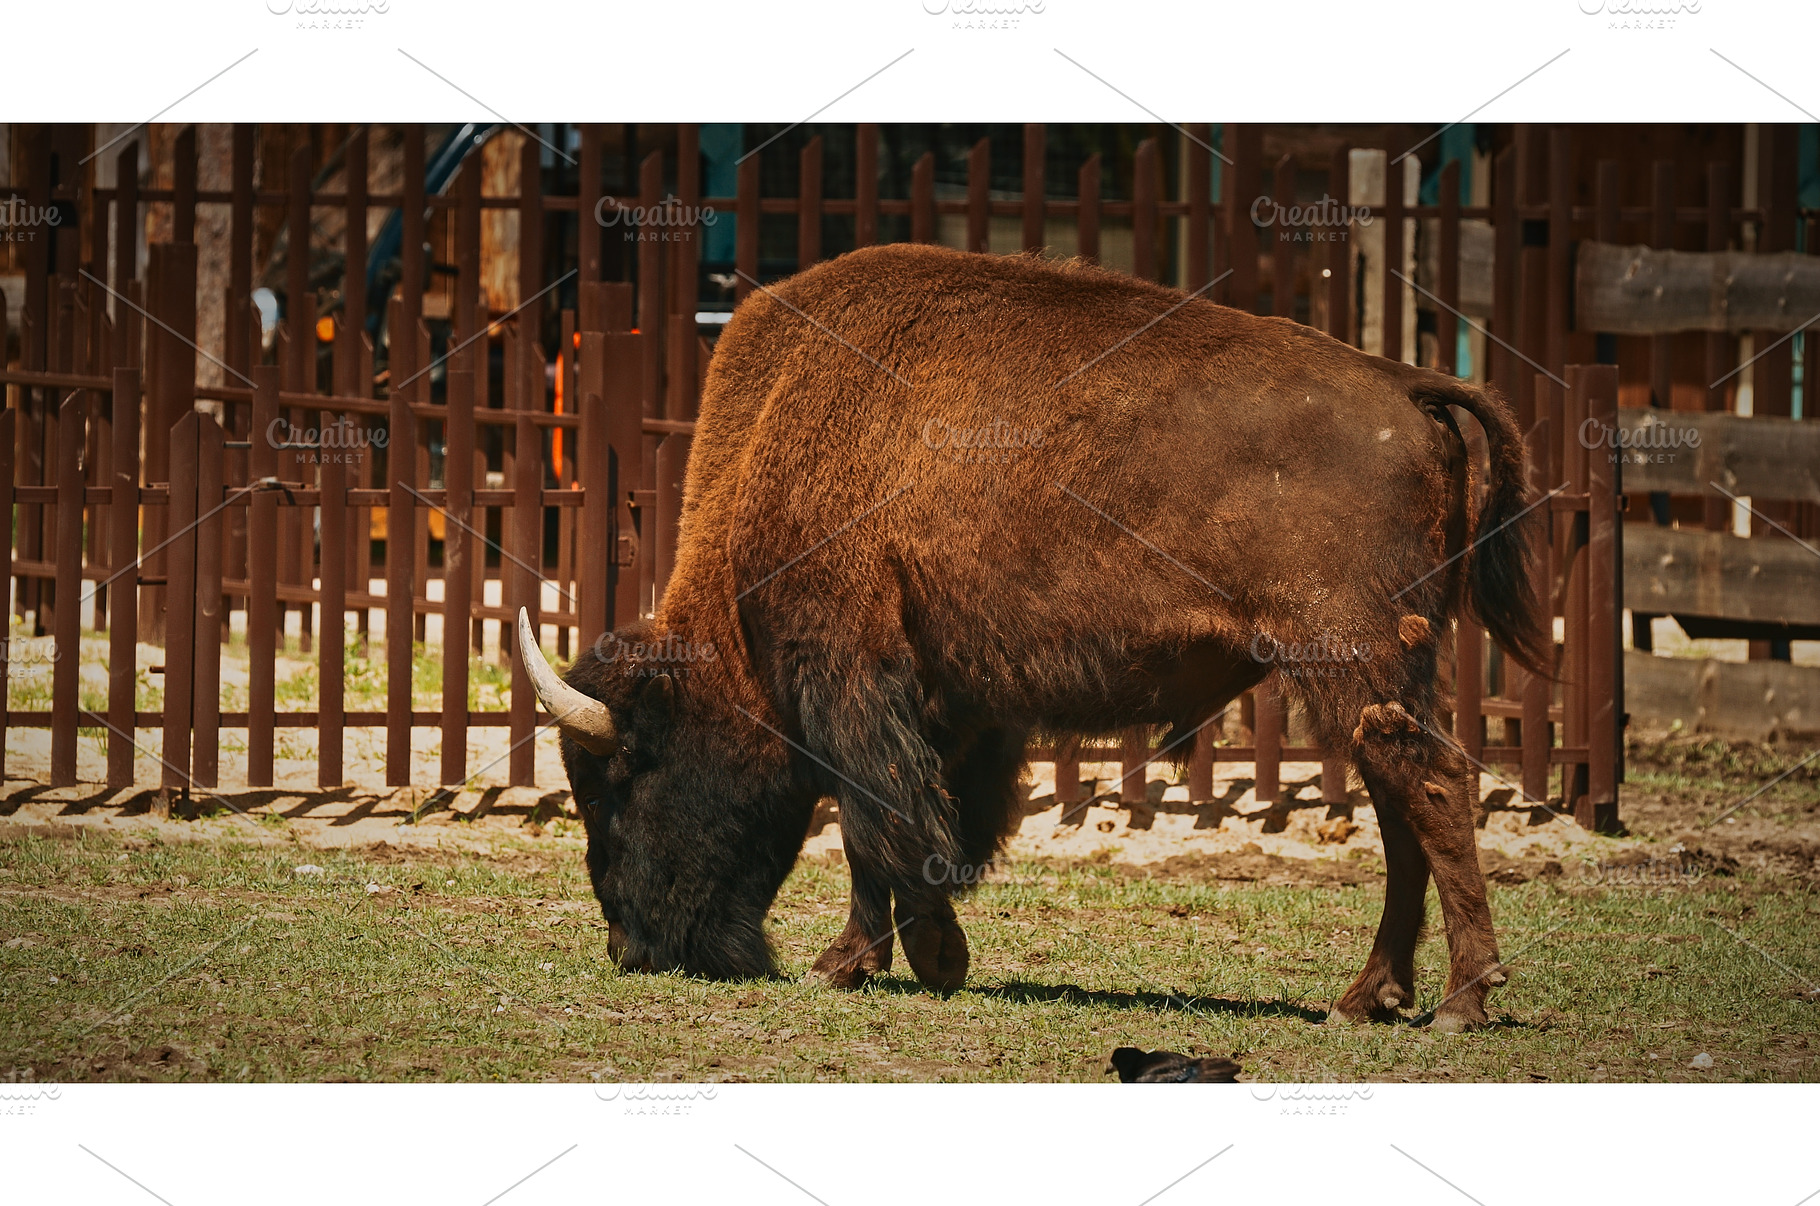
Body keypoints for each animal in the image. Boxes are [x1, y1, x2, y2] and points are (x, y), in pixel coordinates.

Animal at [520, 242, 1546, 1032]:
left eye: (622, 778)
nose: (632, 948)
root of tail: (1408, 386)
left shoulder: (851, 674)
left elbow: (875, 821)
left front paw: (876, 960)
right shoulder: (953, 704)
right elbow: (919, 823)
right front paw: (903, 958)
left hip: (1350, 661)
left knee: (1433, 789)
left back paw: (1460, 1002)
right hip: (1376, 682)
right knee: (1402, 810)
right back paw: (1371, 998)